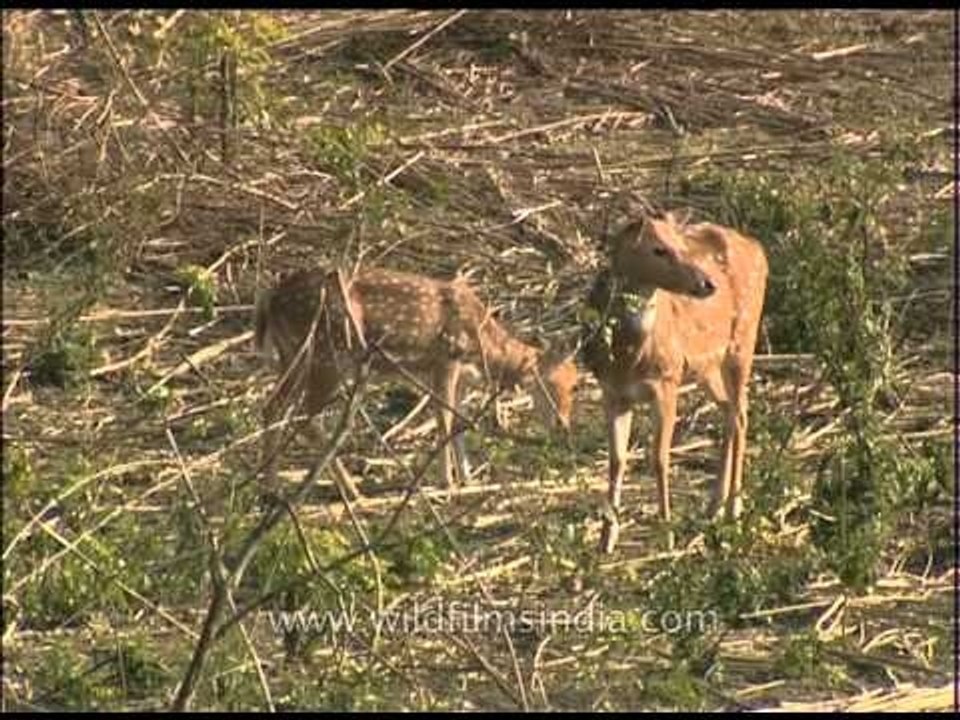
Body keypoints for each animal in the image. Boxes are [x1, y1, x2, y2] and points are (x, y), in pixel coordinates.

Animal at [254, 266, 578, 497]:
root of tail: (270, 301)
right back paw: (352, 490)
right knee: (305, 415)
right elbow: (444, 420)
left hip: (292, 355)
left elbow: (457, 424)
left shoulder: (457, 375)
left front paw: (468, 478)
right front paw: (447, 482)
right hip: (329, 354)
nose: (563, 424)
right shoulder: (445, 359)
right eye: (555, 384)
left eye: (575, 384)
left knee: (273, 406)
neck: (483, 347)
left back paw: (270, 488)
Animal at [580, 212, 768, 553]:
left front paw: (666, 535)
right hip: (707, 367)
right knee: (732, 412)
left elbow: (658, 458)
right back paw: (714, 506)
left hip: (742, 342)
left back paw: (733, 509)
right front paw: (606, 539)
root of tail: (758, 248)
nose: (708, 283)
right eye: (658, 249)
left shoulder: (667, 382)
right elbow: (616, 460)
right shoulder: (611, 392)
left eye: (680, 245)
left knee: (740, 413)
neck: (629, 358)